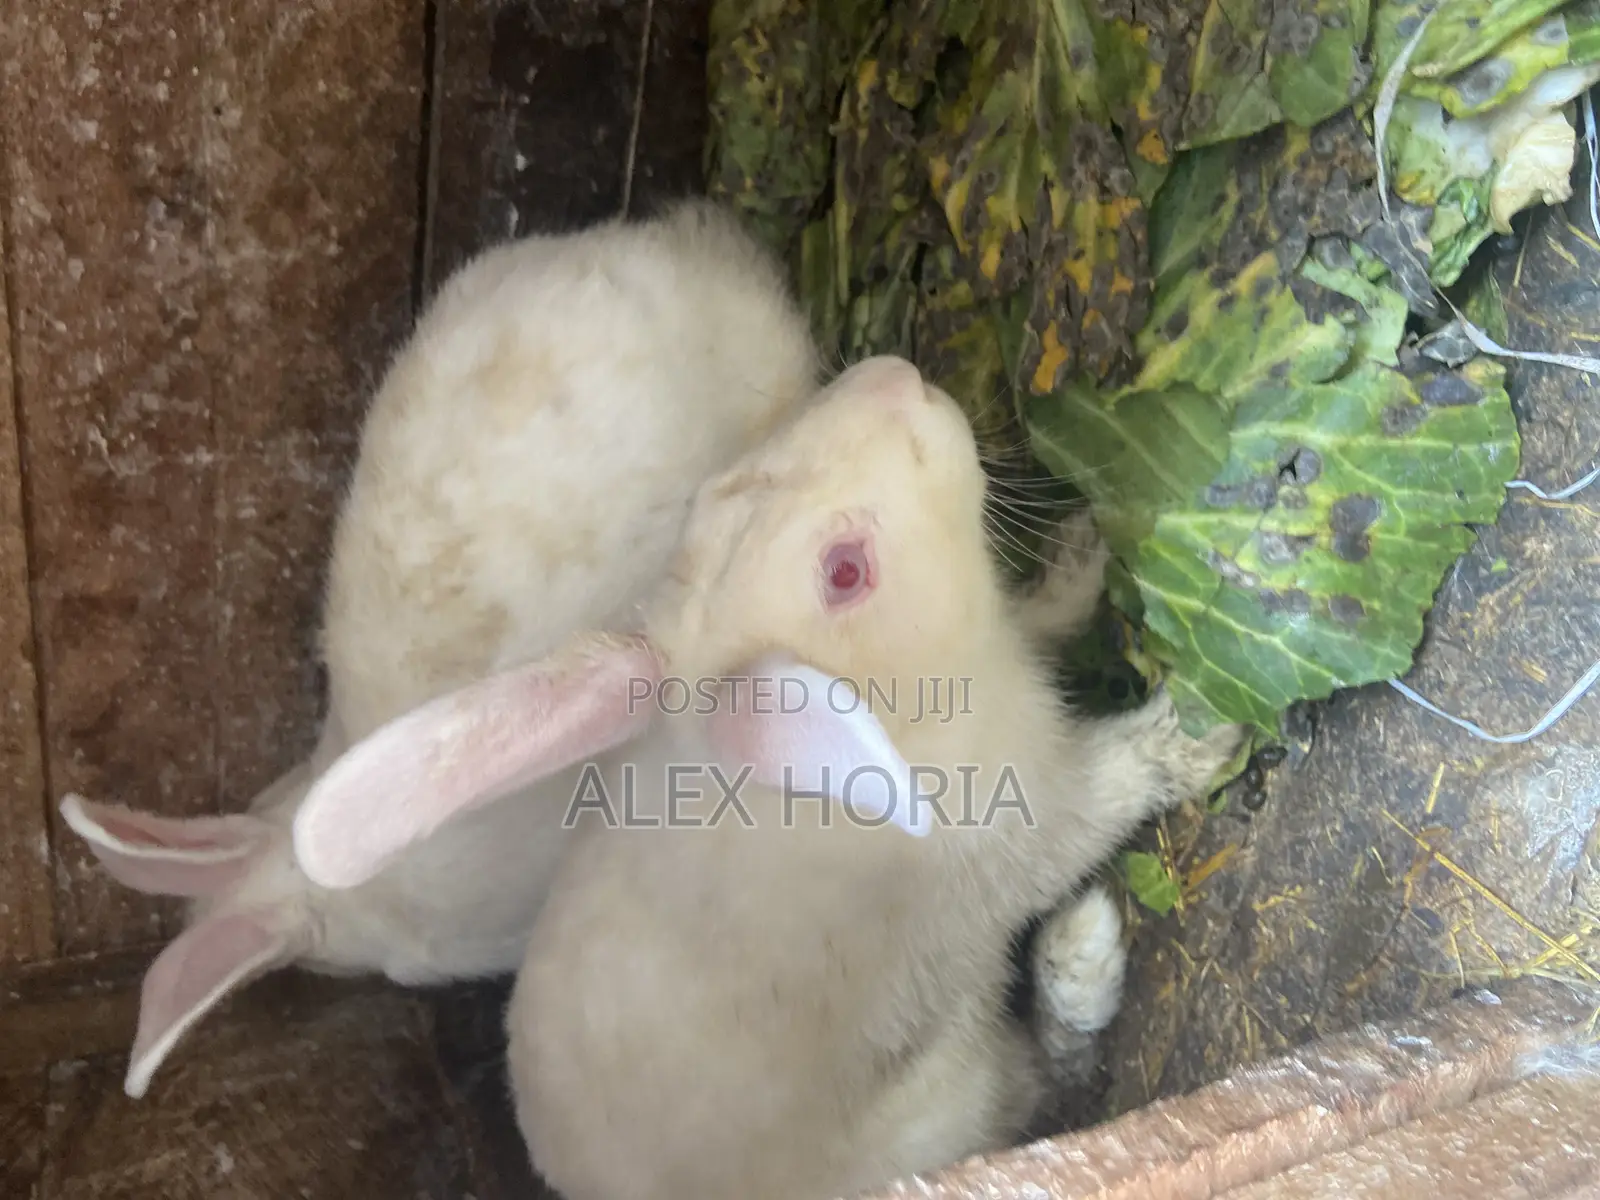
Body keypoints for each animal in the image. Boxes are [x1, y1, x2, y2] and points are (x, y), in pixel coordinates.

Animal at [288, 353, 1243, 1200]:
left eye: (725, 489)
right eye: (845, 570)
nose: (897, 378)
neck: (906, 702)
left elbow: (1046, 618)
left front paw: (1080, 559)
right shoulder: (1038, 819)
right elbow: (1114, 786)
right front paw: (1198, 737)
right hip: (957, 1099)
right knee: (1049, 1087)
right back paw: (1082, 960)